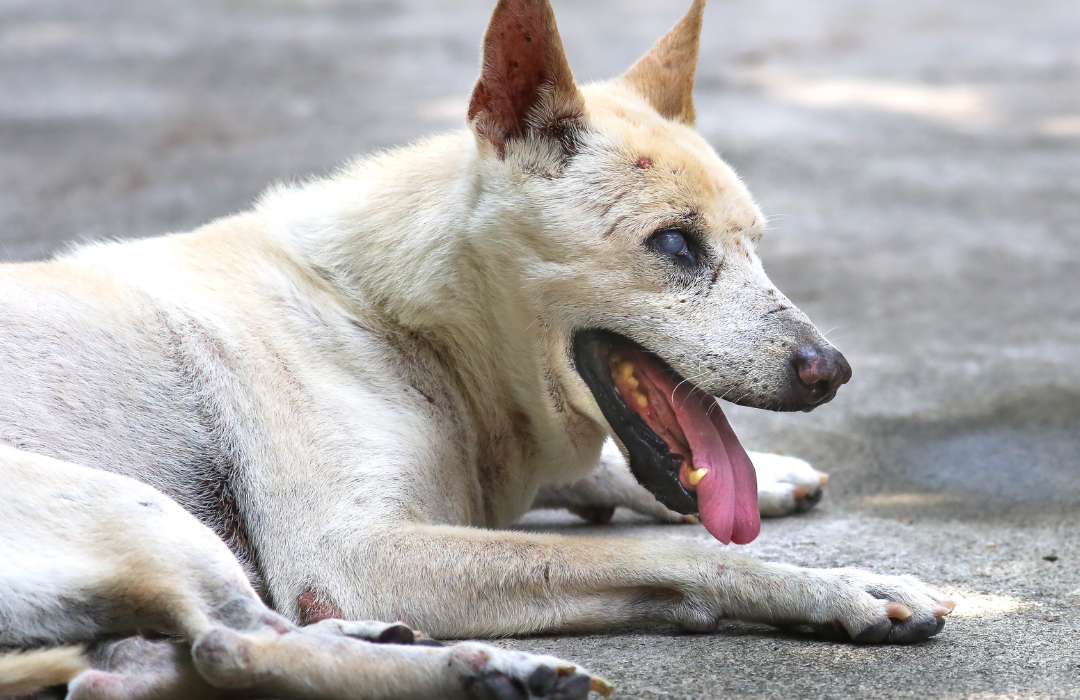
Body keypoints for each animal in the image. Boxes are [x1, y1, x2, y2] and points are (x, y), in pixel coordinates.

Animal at [0, 2, 954, 695]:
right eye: (677, 245)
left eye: (756, 244)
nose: (831, 371)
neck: (387, 311)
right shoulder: (354, 551)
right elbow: (678, 553)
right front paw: (841, 586)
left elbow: (591, 477)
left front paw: (778, 473)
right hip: (138, 507)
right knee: (232, 645)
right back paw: (482, 667)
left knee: (147, 666)